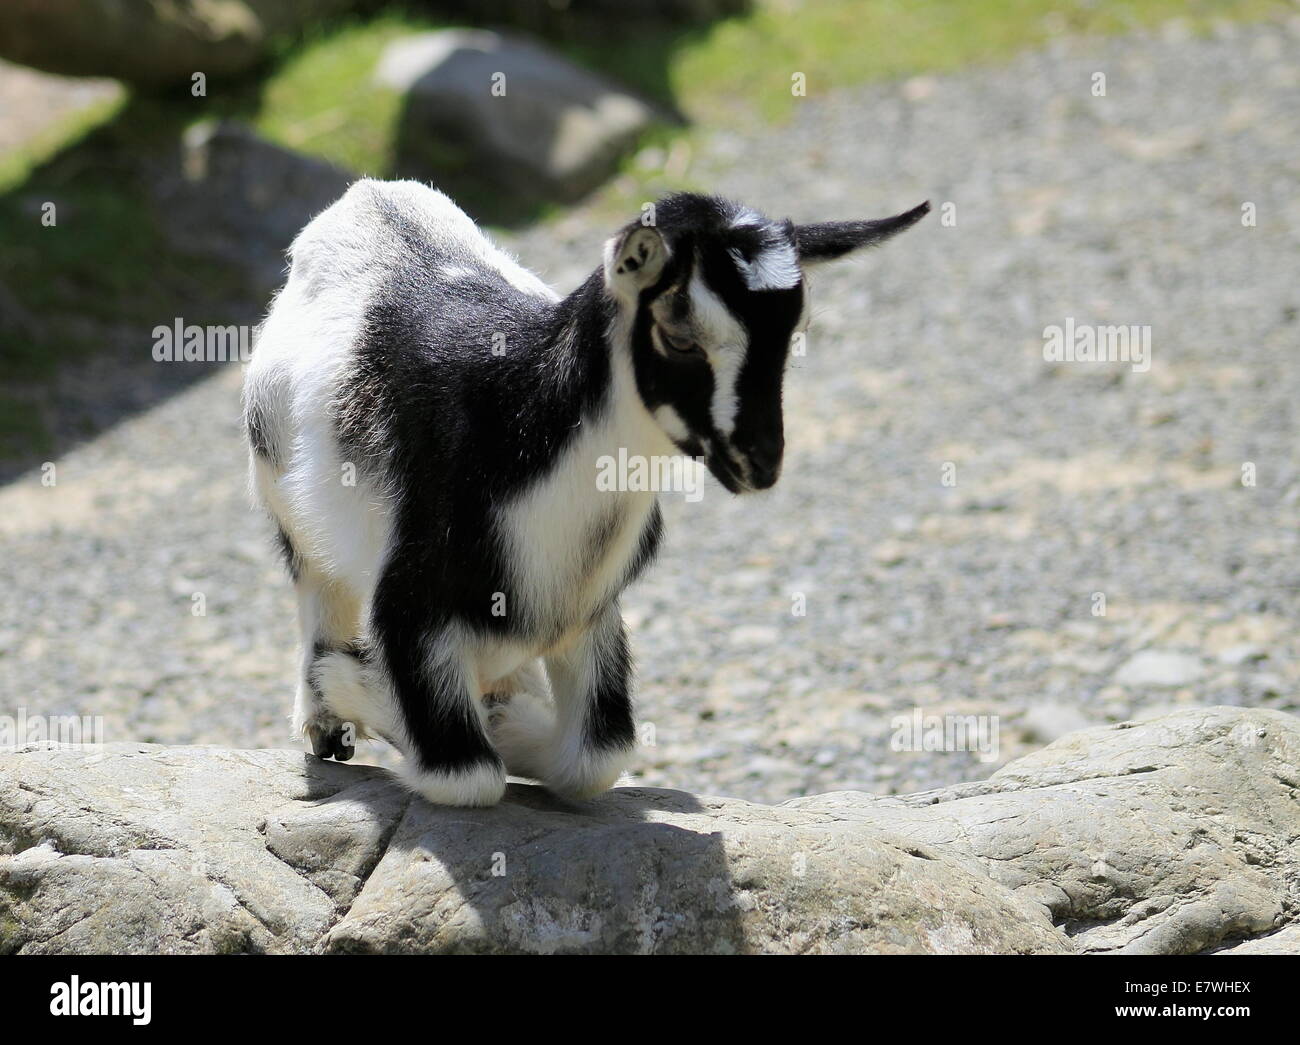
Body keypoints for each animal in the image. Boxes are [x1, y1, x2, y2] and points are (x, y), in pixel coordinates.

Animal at [244, 179, 930, 805]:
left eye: (790, 339)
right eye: (680, 337)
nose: (759, 462)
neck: (516, 422)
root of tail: (371, 194)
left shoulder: (590, 607)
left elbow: (597, 759)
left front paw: (508, 718)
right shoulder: (410, 604)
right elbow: (467, 774)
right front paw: (349, 683)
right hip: (280, 487)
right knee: (317, 585)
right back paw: (324, 717)